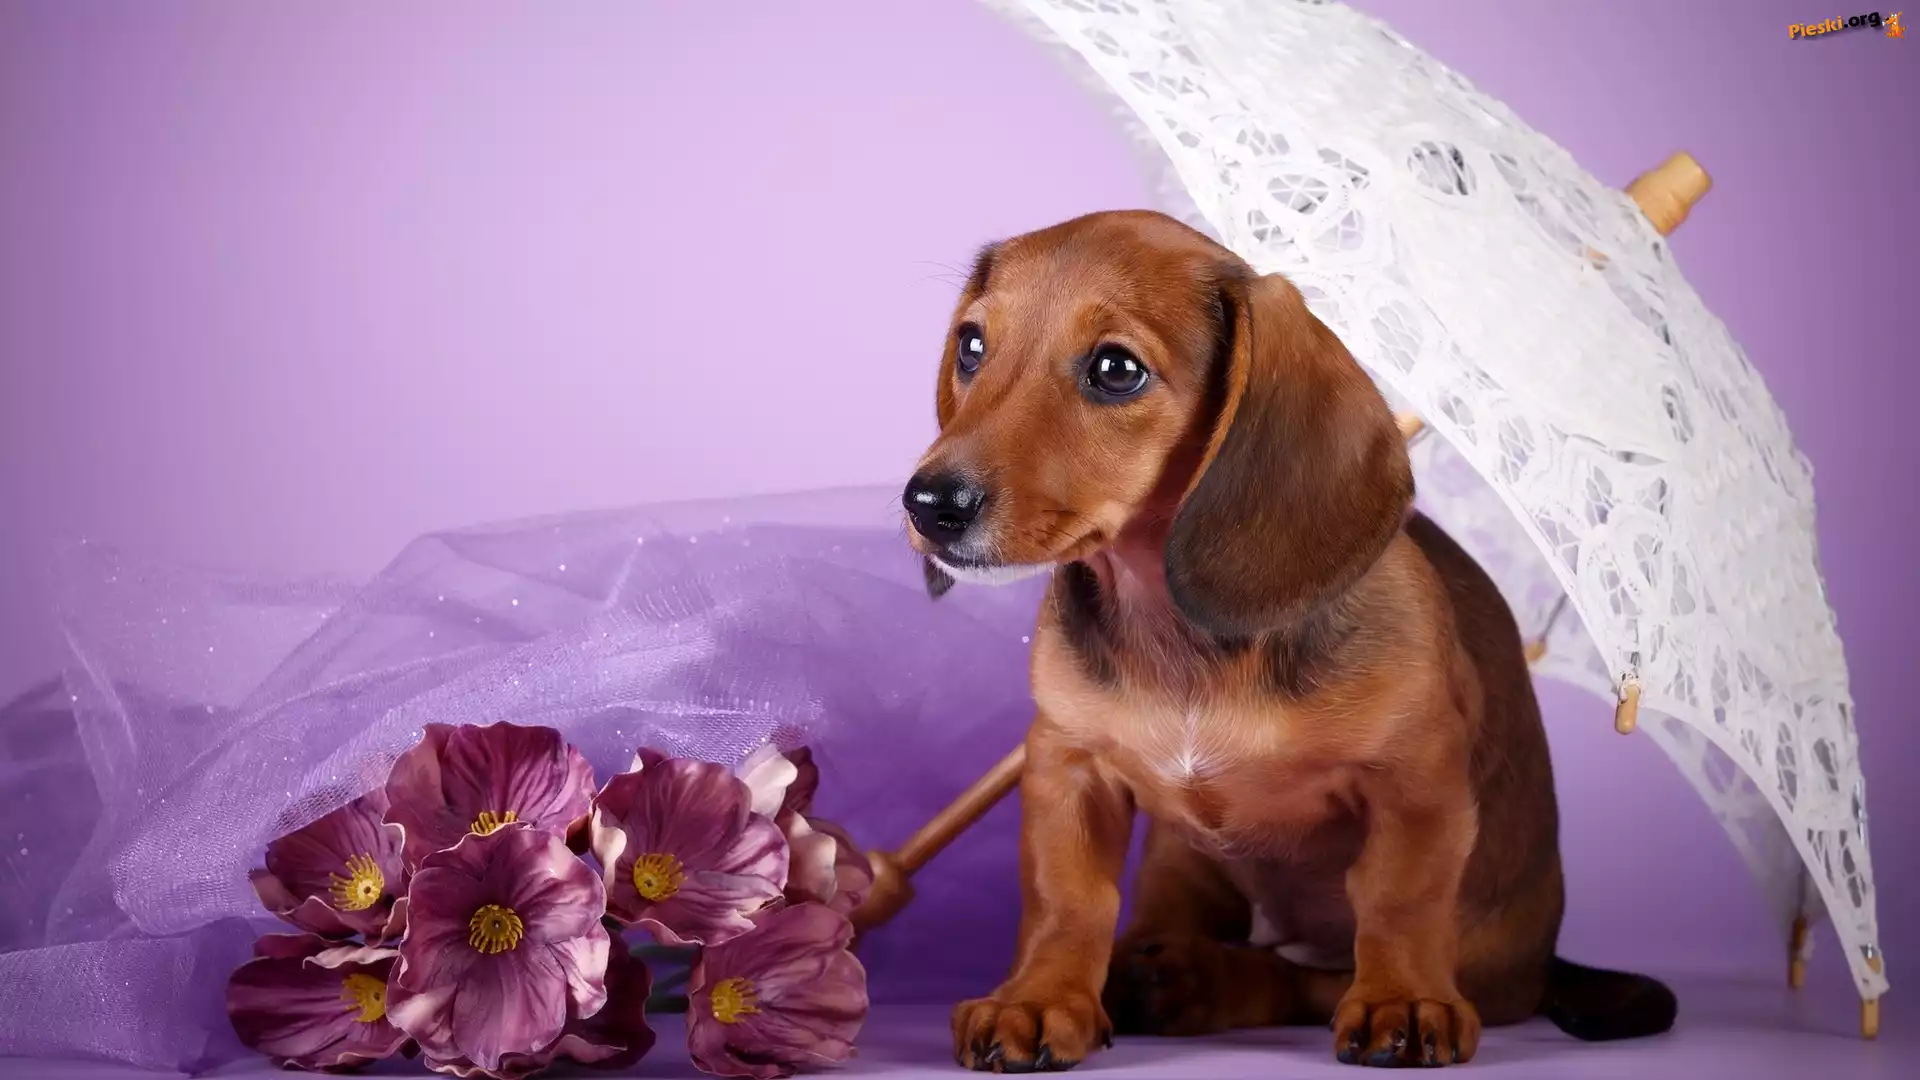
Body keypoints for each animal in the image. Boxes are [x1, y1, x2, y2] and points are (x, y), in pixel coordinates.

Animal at [901, 210, 1677, 1070]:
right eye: (973, 345)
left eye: (1116, 369)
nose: (929, 504)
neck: (1176, 632)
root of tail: (1542, 961)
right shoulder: (1066, 763)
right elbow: (1066, 898)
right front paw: (1037, 999)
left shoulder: (1415, 782)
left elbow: (1400, 900)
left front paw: (1404, 996)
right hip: (1186, 858)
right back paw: (1149, 970)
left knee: (1304, 979)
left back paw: (1203, 983)